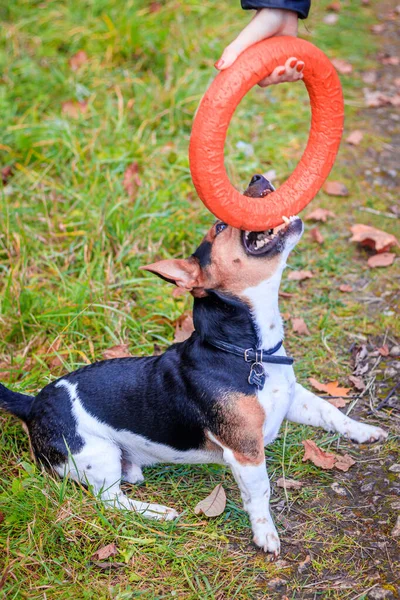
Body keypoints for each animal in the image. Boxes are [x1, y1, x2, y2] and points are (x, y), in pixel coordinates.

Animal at [0, 175, 388, 552]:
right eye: (219, 226)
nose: (258, 176)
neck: (246, 351)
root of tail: (33, 404)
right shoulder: (245, 451)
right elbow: (259, 492)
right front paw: (266, 535)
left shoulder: (294, 399)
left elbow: (331, 412)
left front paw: (365, 431)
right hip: (98, 452)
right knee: (109, 500)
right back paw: (157, 512)